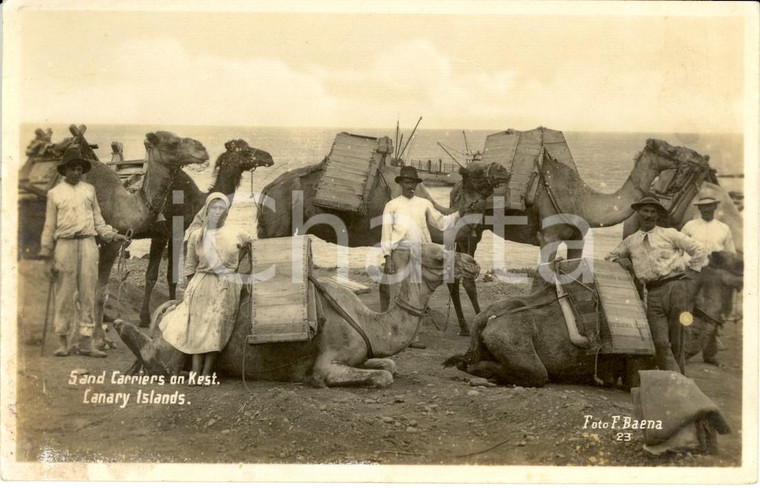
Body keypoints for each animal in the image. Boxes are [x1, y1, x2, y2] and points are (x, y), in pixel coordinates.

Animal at [113, 244, 480, 388]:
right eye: (438, 255)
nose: (473, 263)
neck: (368, 322)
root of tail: (170, 307)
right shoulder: (328, 362)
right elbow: (382, 376)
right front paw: (314, 382)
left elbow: (389, 364)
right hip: (173, 346)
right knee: (159, 361)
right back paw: (119, 325)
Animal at [140, 139, 276, 326]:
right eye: (245, 150)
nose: (268, 156)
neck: (194, 201)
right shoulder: (161, 232)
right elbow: (152, 275)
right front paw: (144, 318)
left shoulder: (176, 231)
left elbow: (171, 276)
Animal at [442, 252, 744, 388]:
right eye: (732, 270)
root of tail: (485, 321)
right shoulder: (637, 363)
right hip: (514, 341)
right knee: (537, 373)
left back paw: (463, 364)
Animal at [446, 137, 688, 336]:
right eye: (669, 149)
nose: (687, 157)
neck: (581, 200)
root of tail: (454, 190)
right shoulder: (548, 237)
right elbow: (541, 280)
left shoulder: (578, 239)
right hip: (468, 230)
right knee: (466, 276)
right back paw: (473, 322)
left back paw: (465, 325)